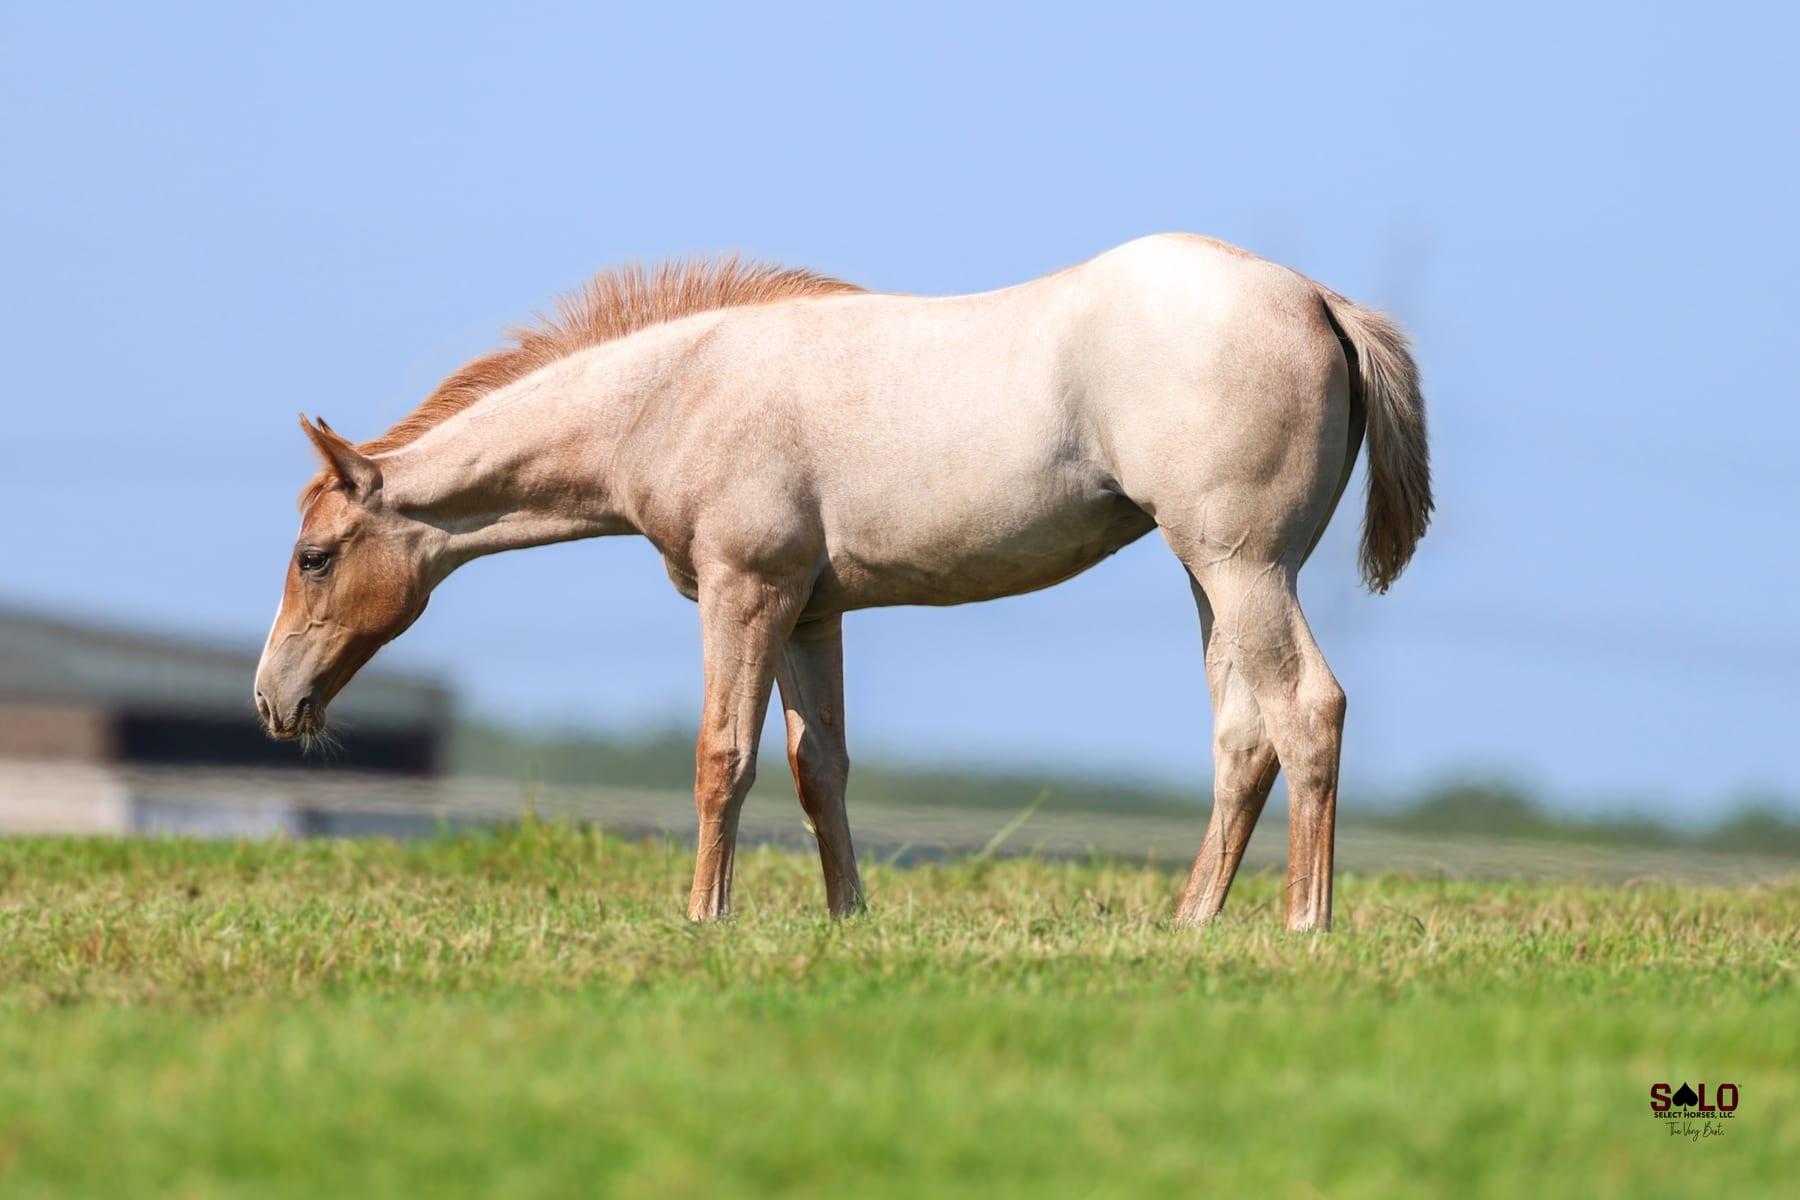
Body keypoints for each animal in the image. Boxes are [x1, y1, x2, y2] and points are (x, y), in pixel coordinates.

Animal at [253, 234, 1431, 931]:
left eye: (315, 557)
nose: (272, 699)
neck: (675, 394)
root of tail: (1320, 299)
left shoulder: (747, 592)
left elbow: (722, 759)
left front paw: (705, 919)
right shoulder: (811, 614)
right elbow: (820, 769)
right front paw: (846, 922)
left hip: (1243, 568)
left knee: (1307, 710)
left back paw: (1305, 925)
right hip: (1212, 573)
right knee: (1243, 736)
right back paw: (1190, 926)